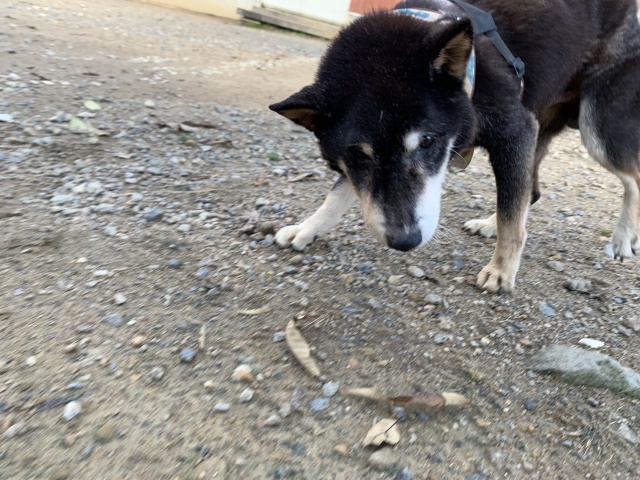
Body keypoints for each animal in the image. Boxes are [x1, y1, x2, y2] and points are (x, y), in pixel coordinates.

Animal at [269, 0, 640, 293]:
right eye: (359, 157)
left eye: (428, 142)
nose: (404, 241)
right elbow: (336, 195)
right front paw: (308, 228)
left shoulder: (515, 130)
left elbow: (512, 217)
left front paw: (502, 270)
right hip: (542, 123)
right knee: (528, 191)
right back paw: (490, 223)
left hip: (595, 126)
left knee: (630, 179)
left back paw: (623, 238)